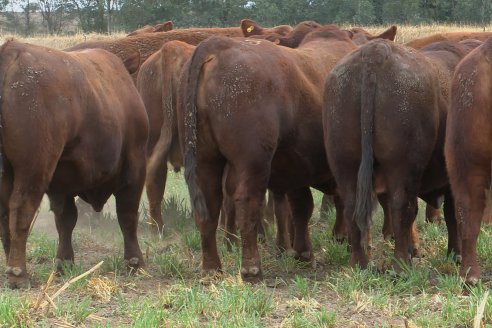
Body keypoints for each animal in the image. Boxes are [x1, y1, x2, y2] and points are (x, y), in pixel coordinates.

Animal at [0, 39, 148, 288]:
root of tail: (13, 51)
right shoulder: (135, 168)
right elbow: (127, 214)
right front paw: (135, 261)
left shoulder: (61, 184)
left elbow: (65, 220)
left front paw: (64, 261)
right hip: (34, 169)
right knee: (21, 209)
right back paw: (18, 273)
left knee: (4, 215)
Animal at [179, 25, 398, 282]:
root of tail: (217, 46)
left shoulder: (295, 163)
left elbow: (302, 207)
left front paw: (304, 252)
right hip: (251, 162)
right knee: (246, 203)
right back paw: (251, 267)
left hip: (205, 159)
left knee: (208, 207)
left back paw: (211, 267)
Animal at [322, 38, 476, 270]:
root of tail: (375, 51)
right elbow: (453, 215)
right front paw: (455, 254)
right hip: (402, 167)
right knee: (402, 208)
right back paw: (401, 264)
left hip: (345, 164)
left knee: (352, 208)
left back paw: (360, 263)